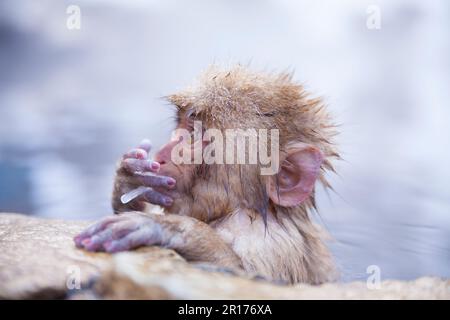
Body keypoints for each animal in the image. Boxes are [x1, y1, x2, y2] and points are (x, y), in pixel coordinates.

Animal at [74, 66, 340, 284]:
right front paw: (130, 179)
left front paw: (170, 228)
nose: (161, 155)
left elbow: (249, 275)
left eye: (195, 133)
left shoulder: (274, 245)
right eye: (181, 125)